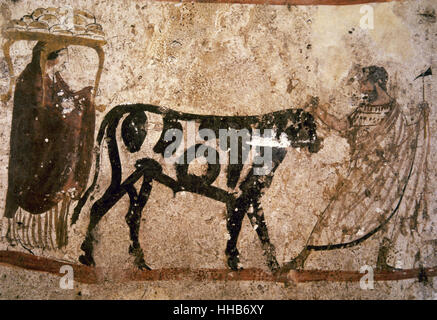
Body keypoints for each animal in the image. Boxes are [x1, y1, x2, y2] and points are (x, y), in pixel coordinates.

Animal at [71, 104, 320, 272]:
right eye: (309, 127)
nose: (320, 143)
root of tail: (123, 108)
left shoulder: (247, 199)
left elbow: (260, 234)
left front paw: (273, 267)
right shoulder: (242, 197)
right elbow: (239, 230)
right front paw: (235, 263)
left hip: (143, 177)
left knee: (132, 216)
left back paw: (140, 262)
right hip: (122, 175)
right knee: (98, 207)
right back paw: (88, 256)